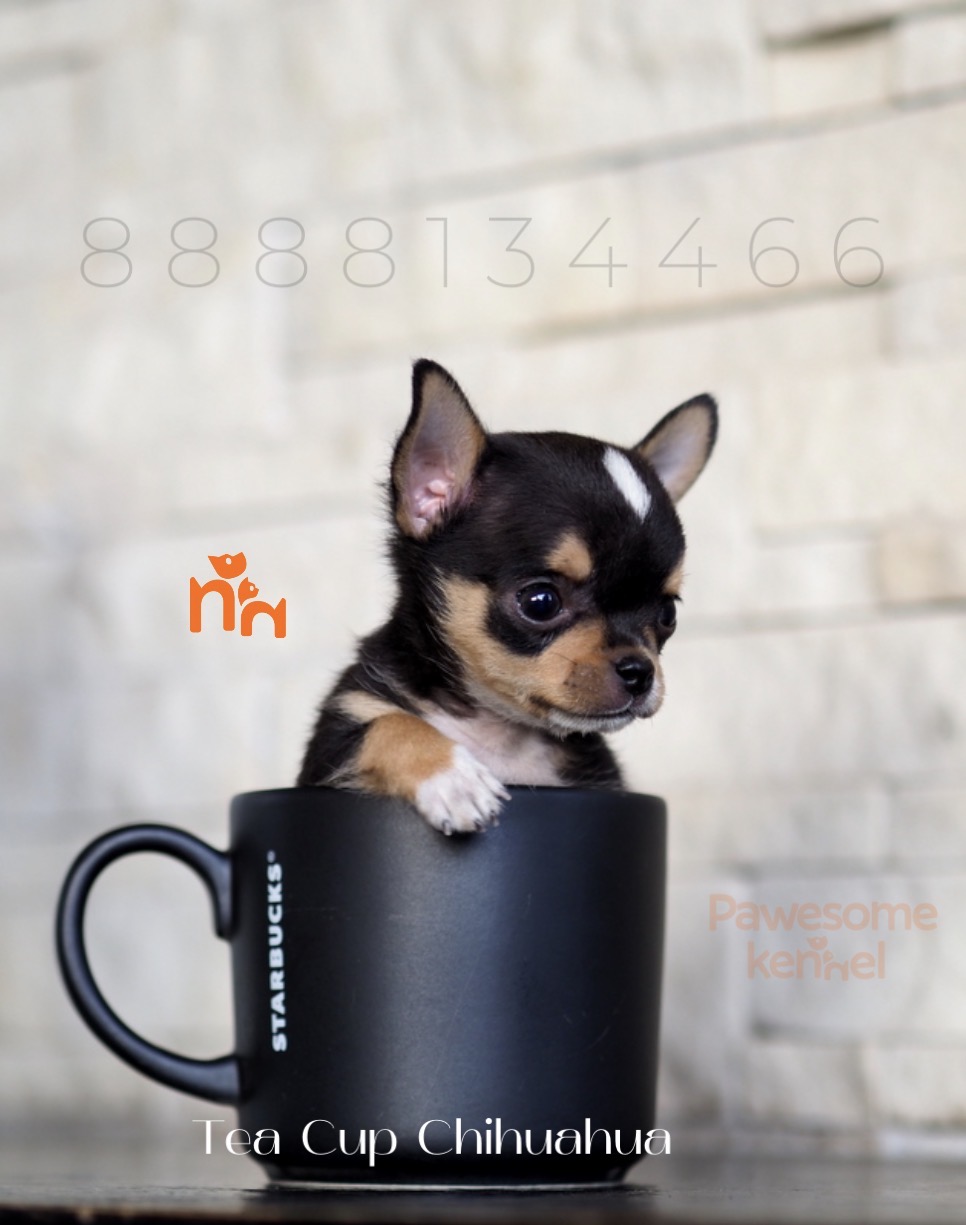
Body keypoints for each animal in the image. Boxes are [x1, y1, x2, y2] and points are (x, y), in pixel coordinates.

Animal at [297, 359, 717, 834]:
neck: (499, 729)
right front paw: (453, 778)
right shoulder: (339, 732)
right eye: (541, 602)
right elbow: (390, 724)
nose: (639, 671)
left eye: (667, 615)